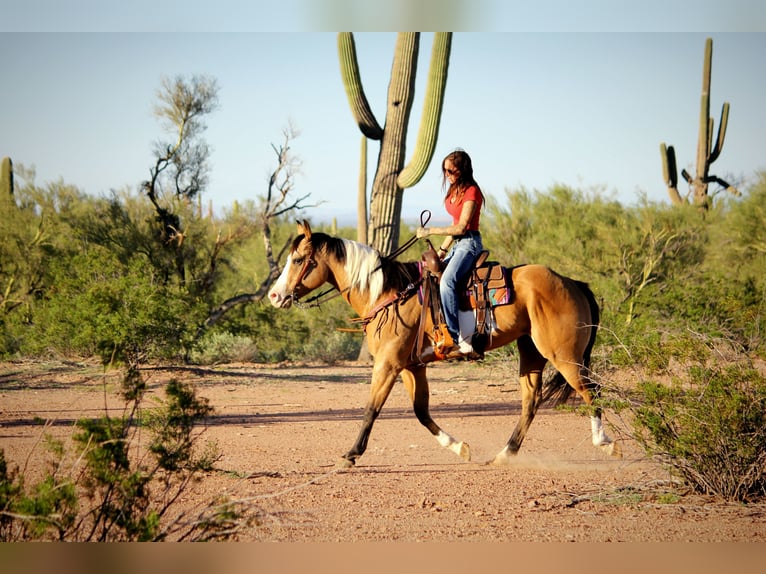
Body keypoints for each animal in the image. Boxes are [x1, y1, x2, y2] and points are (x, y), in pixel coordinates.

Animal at [268, 220, 617, 468]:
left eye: (298, 259)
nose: (274, 295)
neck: (388, 293)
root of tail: (573, 283)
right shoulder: (411, 366)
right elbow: (421, 411)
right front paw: (459, 447)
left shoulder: (388, 364)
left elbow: (371, 409)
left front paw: (352, 454)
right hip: (531, 351)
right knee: (531, 401)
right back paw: (505, 454)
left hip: (562, 354)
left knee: (592, 390)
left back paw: (605, 442)